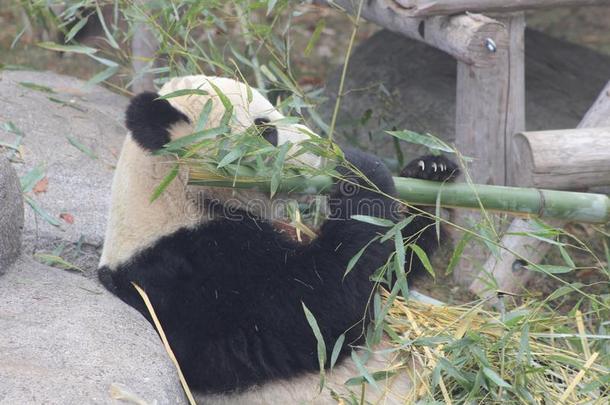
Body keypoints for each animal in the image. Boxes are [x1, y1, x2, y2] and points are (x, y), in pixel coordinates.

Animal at [97, 74, 454, 402]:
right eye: (265, 129)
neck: (172, 193)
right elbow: (319, 310)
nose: (322, 150)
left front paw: (430, 171)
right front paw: (362, 173)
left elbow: (394, 269)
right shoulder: (193, 274)